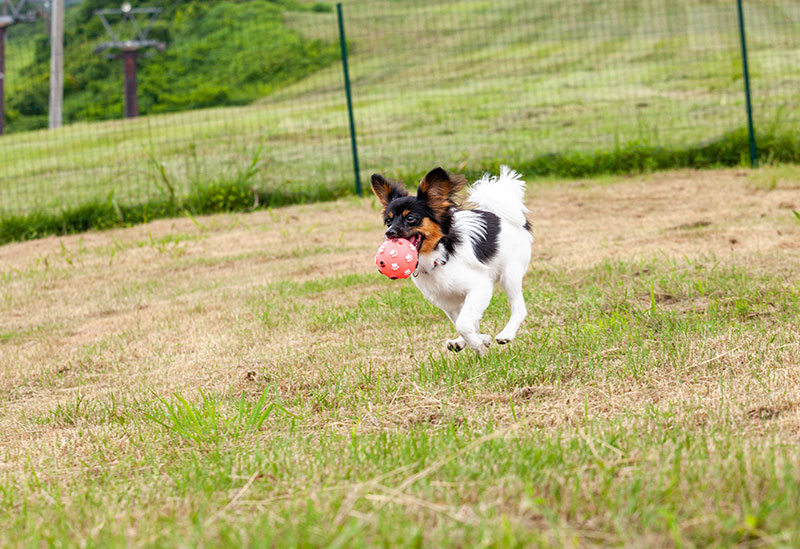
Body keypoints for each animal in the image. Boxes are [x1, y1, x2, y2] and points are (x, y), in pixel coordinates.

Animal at [372, 165, 536, 358]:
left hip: (510, 275)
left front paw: (478, 345)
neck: (436, 256)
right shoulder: (447, 301)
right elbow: (466, 323)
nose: (389, 233)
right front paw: (480, 340)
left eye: (410, 218)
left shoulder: (480, 287)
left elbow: (463, 324)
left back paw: (506, 334)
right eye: (388, 221)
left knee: (519, 308)